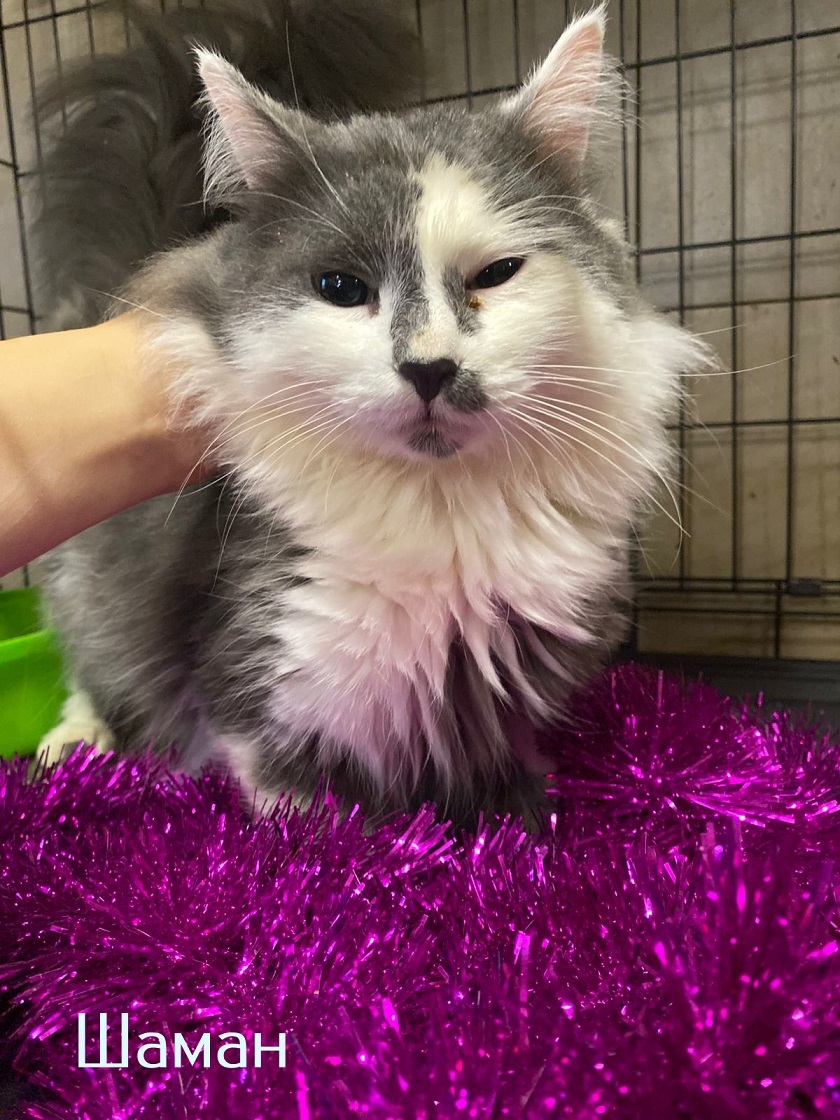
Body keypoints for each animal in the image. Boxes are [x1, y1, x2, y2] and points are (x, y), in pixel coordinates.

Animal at [35, 1, 708, 829]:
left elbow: (511, 793)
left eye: (495, 275)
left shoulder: (503, 696)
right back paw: (72, 745)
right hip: (91, 588)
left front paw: (515, 828)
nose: (428, 367)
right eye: (340, 288)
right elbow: (306, 814)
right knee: (99, 676)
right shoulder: (264, 687)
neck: (440, 511)